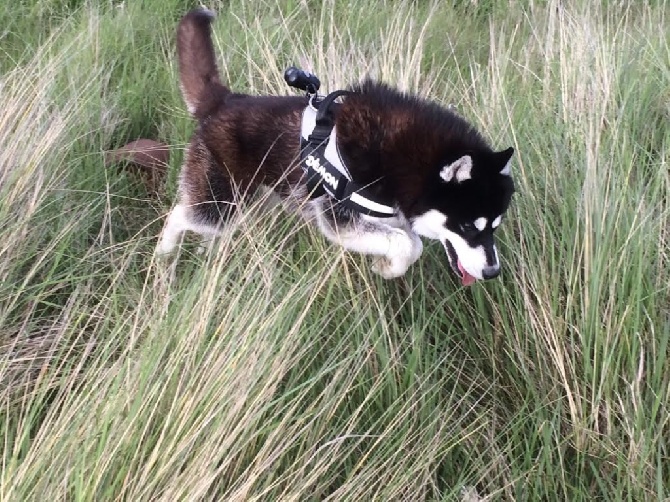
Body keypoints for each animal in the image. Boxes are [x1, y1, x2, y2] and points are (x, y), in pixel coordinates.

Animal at [156, 7, 516, 284]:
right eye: (468, 226)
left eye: (495, 227)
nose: (492, 273)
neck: (398, 156)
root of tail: (225, 100)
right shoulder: (339, 218)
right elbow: (406, 245)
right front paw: (387, 267)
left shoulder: (388, 218)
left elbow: (409, 240)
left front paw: (387, 268)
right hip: (221, 204)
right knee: (180, 216)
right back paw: (164, 258)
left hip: (251, 201)